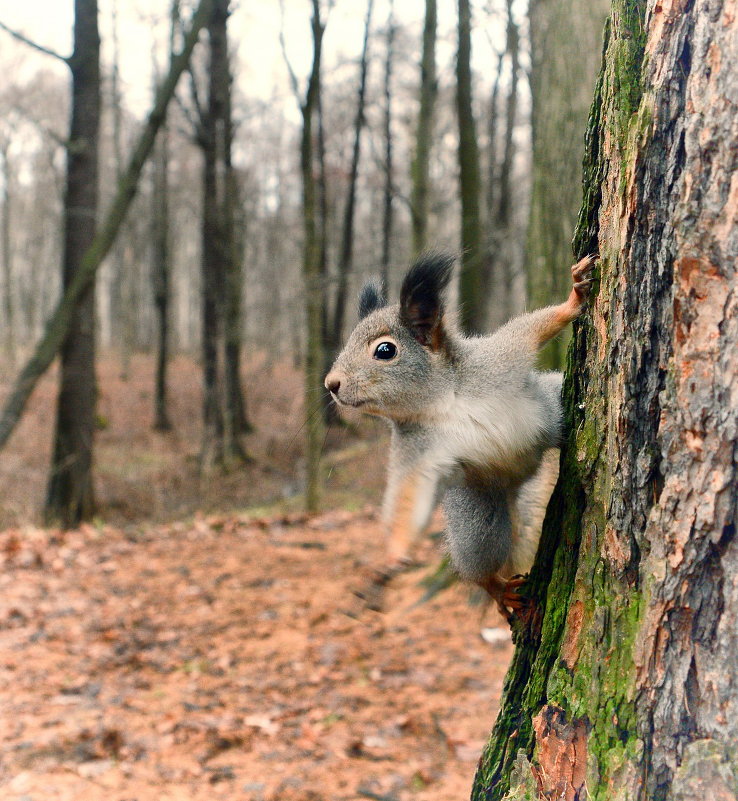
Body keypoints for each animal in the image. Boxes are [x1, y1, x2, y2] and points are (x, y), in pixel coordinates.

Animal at [324, 250, 596, 620]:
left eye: (384, 350)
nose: (331, 384)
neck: (442, 401)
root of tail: (516, 483)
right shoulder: (416, 451)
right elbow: (408, 497)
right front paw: (392, 554)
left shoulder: (498, 359)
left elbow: (532, 328)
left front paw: (574, 298)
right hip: (476, 511)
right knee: (479, 557)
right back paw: (497, 588)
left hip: (551, 407)